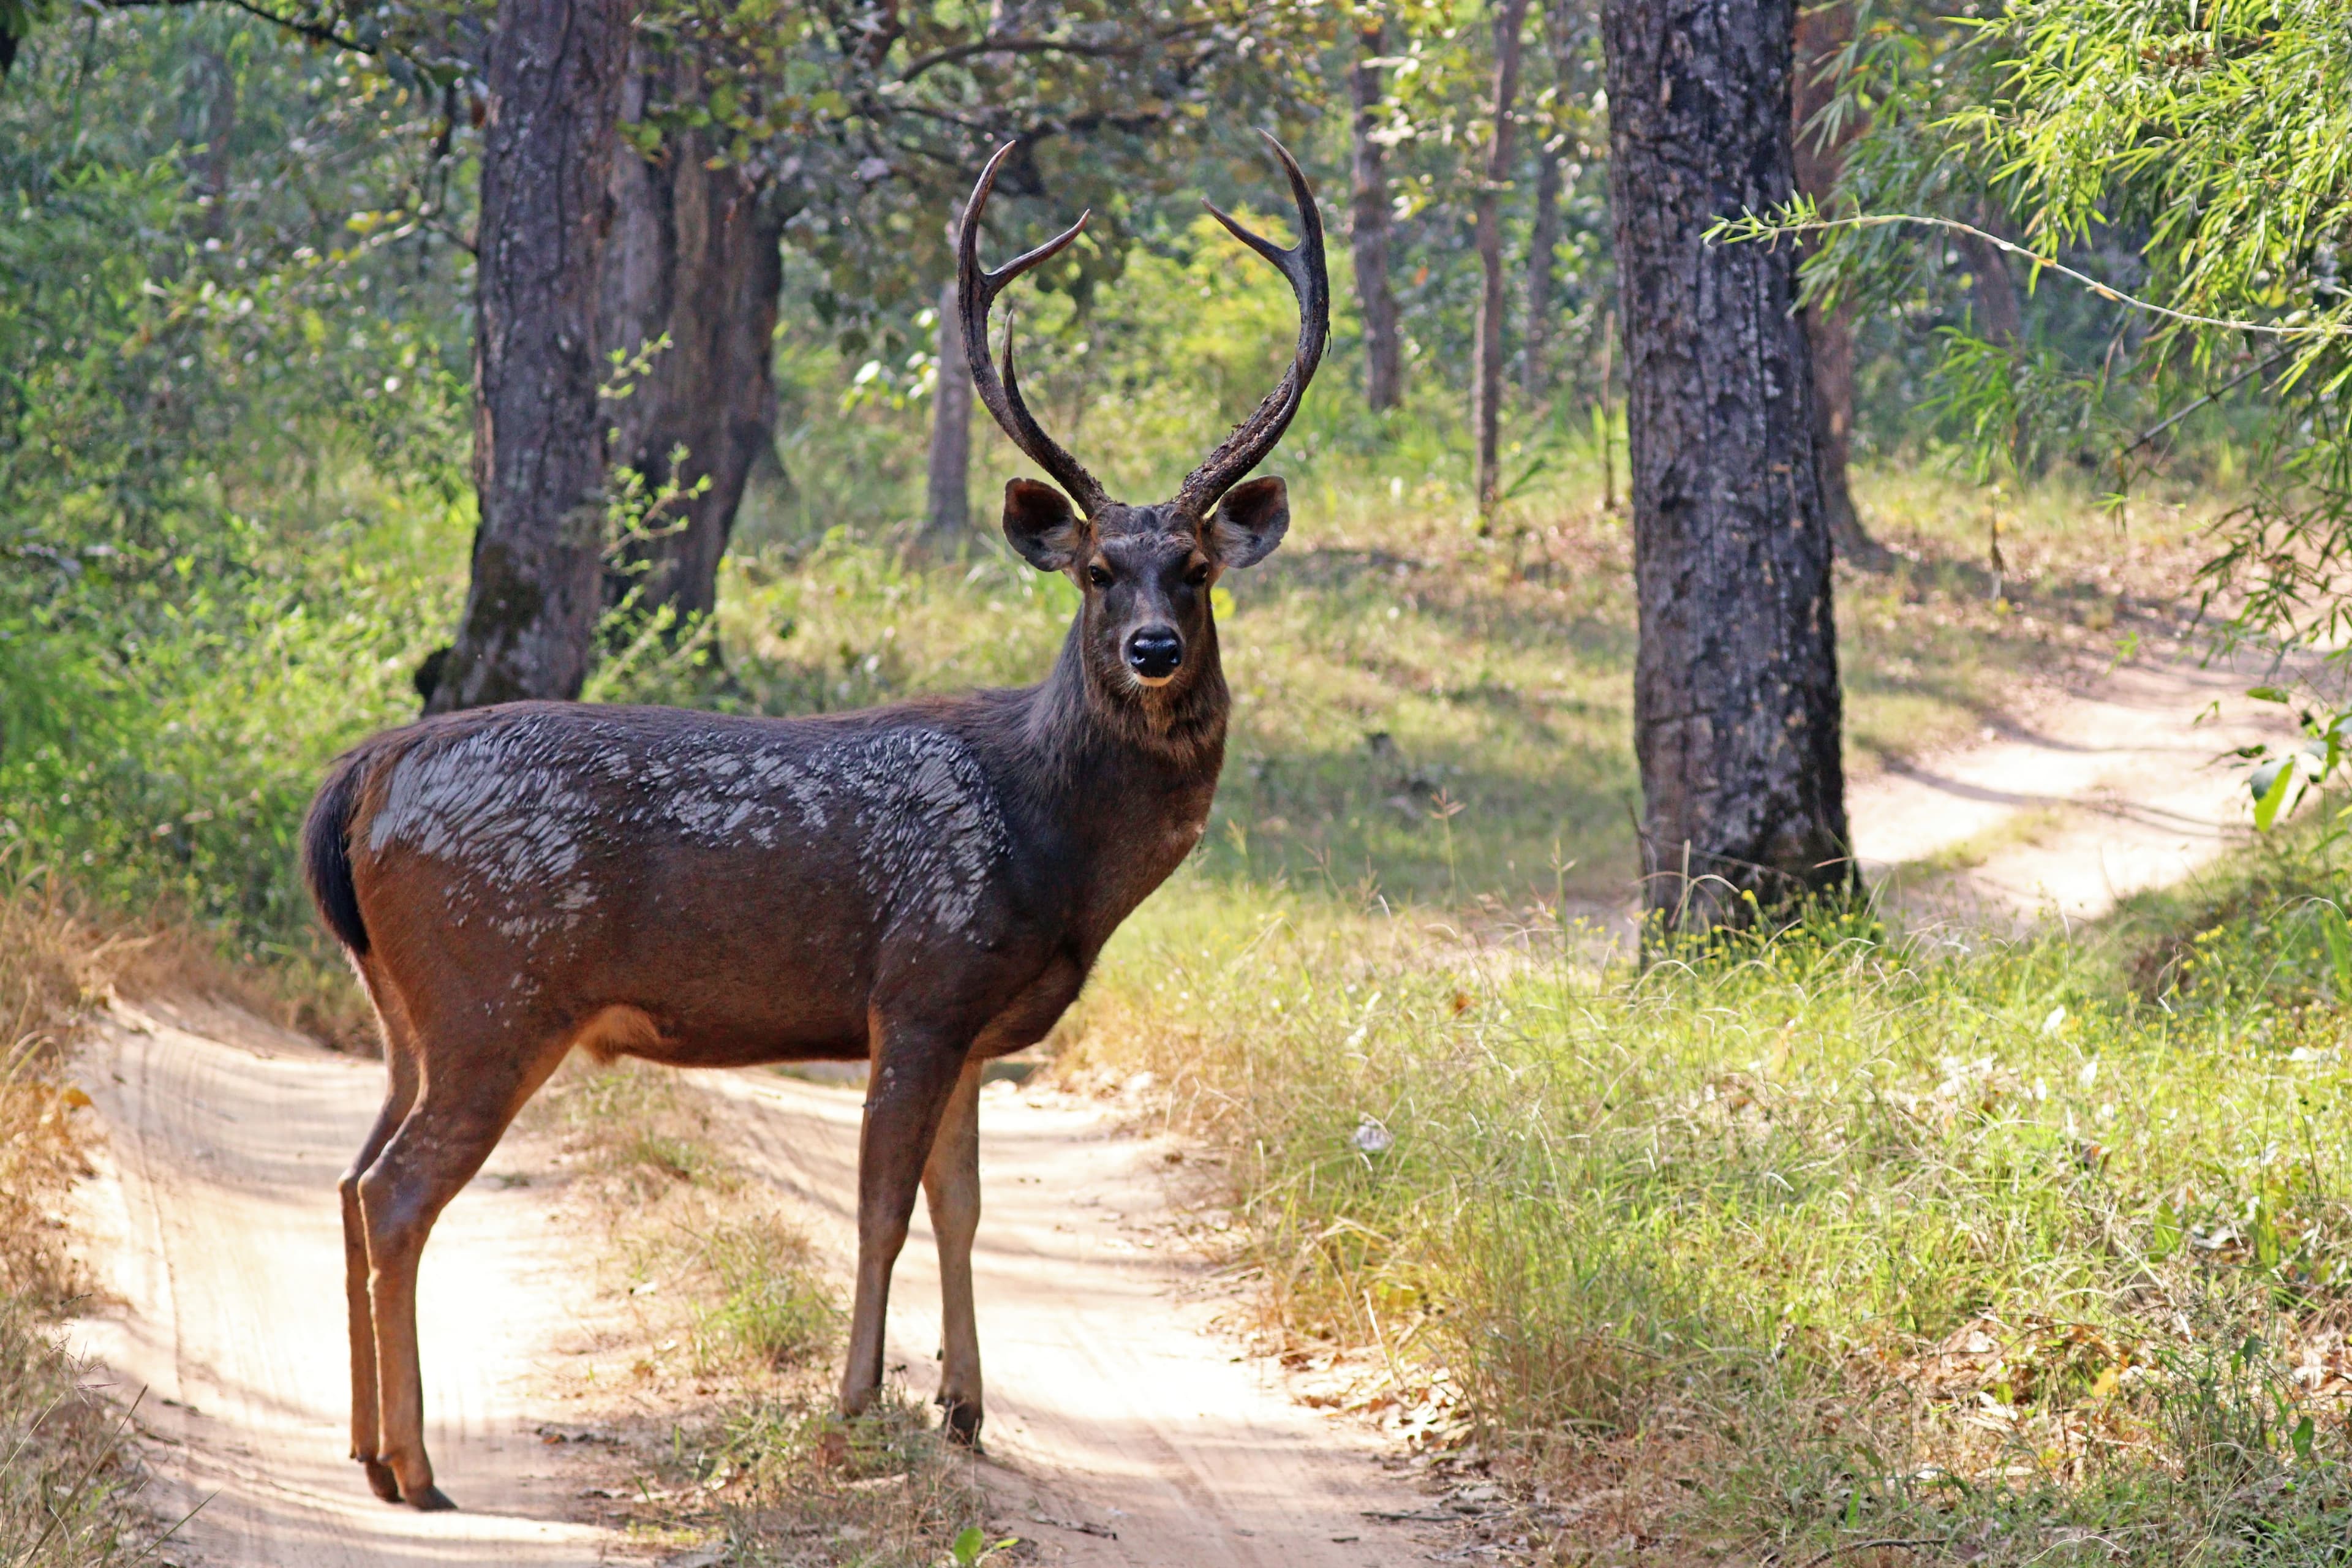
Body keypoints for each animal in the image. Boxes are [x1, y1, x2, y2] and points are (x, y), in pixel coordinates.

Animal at [298, 133, 1328, 1511]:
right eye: (1099, 571)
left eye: (1199, 570)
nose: (1155, 649)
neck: (1057, 850)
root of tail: (366, 773)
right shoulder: (923, 982)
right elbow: (883, 1203)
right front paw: (856, 1401)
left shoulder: (978, 1022)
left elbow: (963, 1204)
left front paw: (965, 1407)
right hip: (493, 989)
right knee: (400, 1191)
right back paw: (416, 1465)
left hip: (404, 1005)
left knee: (352, 1177)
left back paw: (365, 1447)